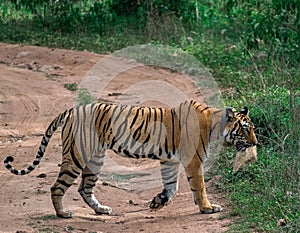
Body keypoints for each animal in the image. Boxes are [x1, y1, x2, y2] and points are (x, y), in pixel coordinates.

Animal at [2, 99, 258, 218]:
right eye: (245, 129)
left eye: (252, 128)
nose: (256, 143)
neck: (214, 126)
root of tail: (72, 110)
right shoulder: (193, 160)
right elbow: (200, 186)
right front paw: (208, 208)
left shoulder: (170, 161)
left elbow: (171, 186)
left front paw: (157, 202)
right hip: (75, 156)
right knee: (57, 187)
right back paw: (63, 214)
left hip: (95, 159)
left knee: (84, 188)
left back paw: (101, 210)